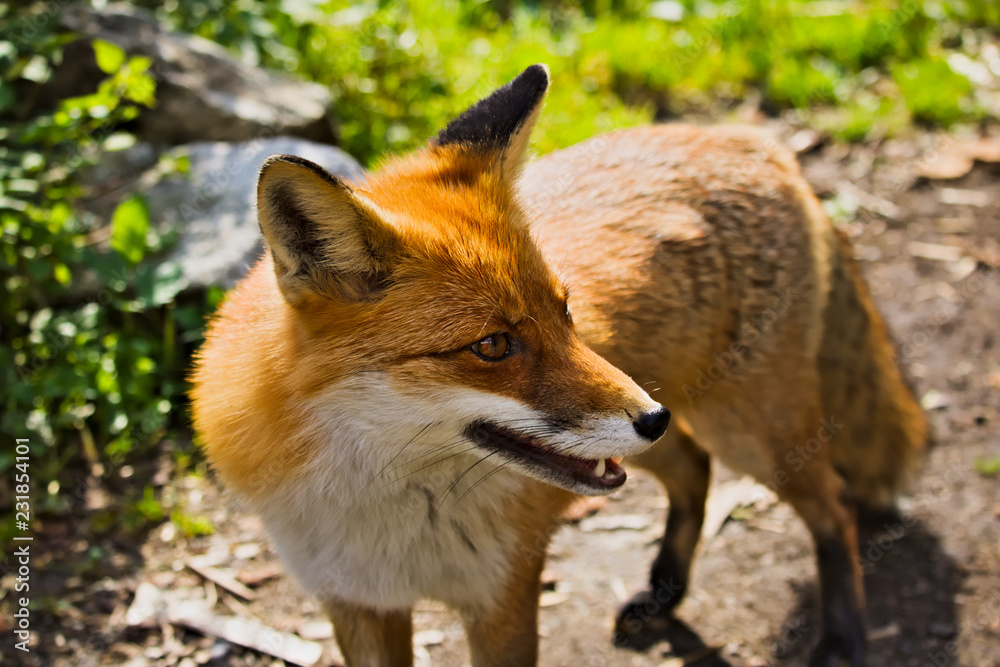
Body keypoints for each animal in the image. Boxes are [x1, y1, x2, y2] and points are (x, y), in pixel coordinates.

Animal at [191, 64, 926, 667]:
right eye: (492, 346)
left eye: (565, 311)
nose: (653, 417)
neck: (382, 509)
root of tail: (753, 141)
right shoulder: (358, 603)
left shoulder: (504, 597)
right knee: (694, 466)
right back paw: (664, 593)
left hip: (753, 431)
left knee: (833, 507)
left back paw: (842, 637)